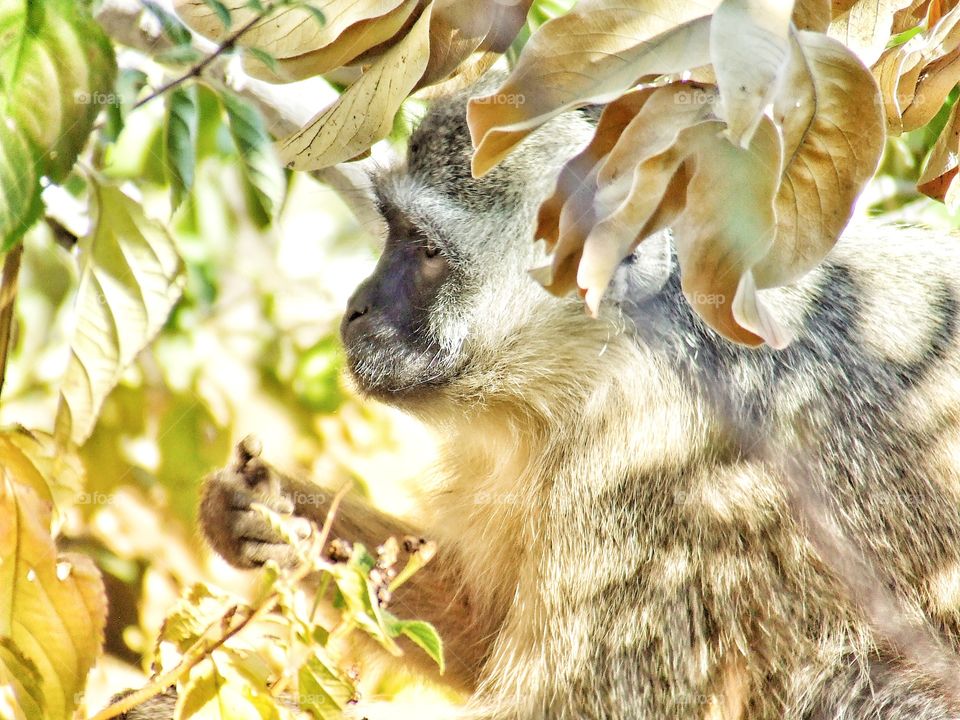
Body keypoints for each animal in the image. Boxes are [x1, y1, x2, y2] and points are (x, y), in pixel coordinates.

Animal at [125, 76, 960, 719]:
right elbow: (479, 627)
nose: (357, 307)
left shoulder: (648, 471)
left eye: (426, 251)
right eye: (393, 231)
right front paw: (270, 514)